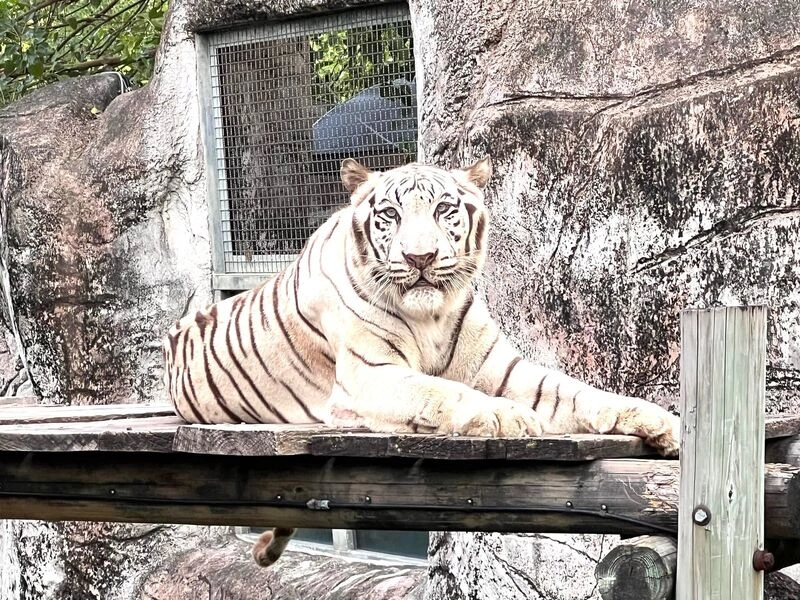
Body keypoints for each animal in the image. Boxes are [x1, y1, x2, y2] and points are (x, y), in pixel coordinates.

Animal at [163, 156, 680, 567]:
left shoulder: (502, 369)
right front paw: (506, 416)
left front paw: (664, 423)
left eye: (443, 210)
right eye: (390, 214)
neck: (430, 313)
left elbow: (578, 391)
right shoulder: (370, 375)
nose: (420, 257)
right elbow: (442, 390)